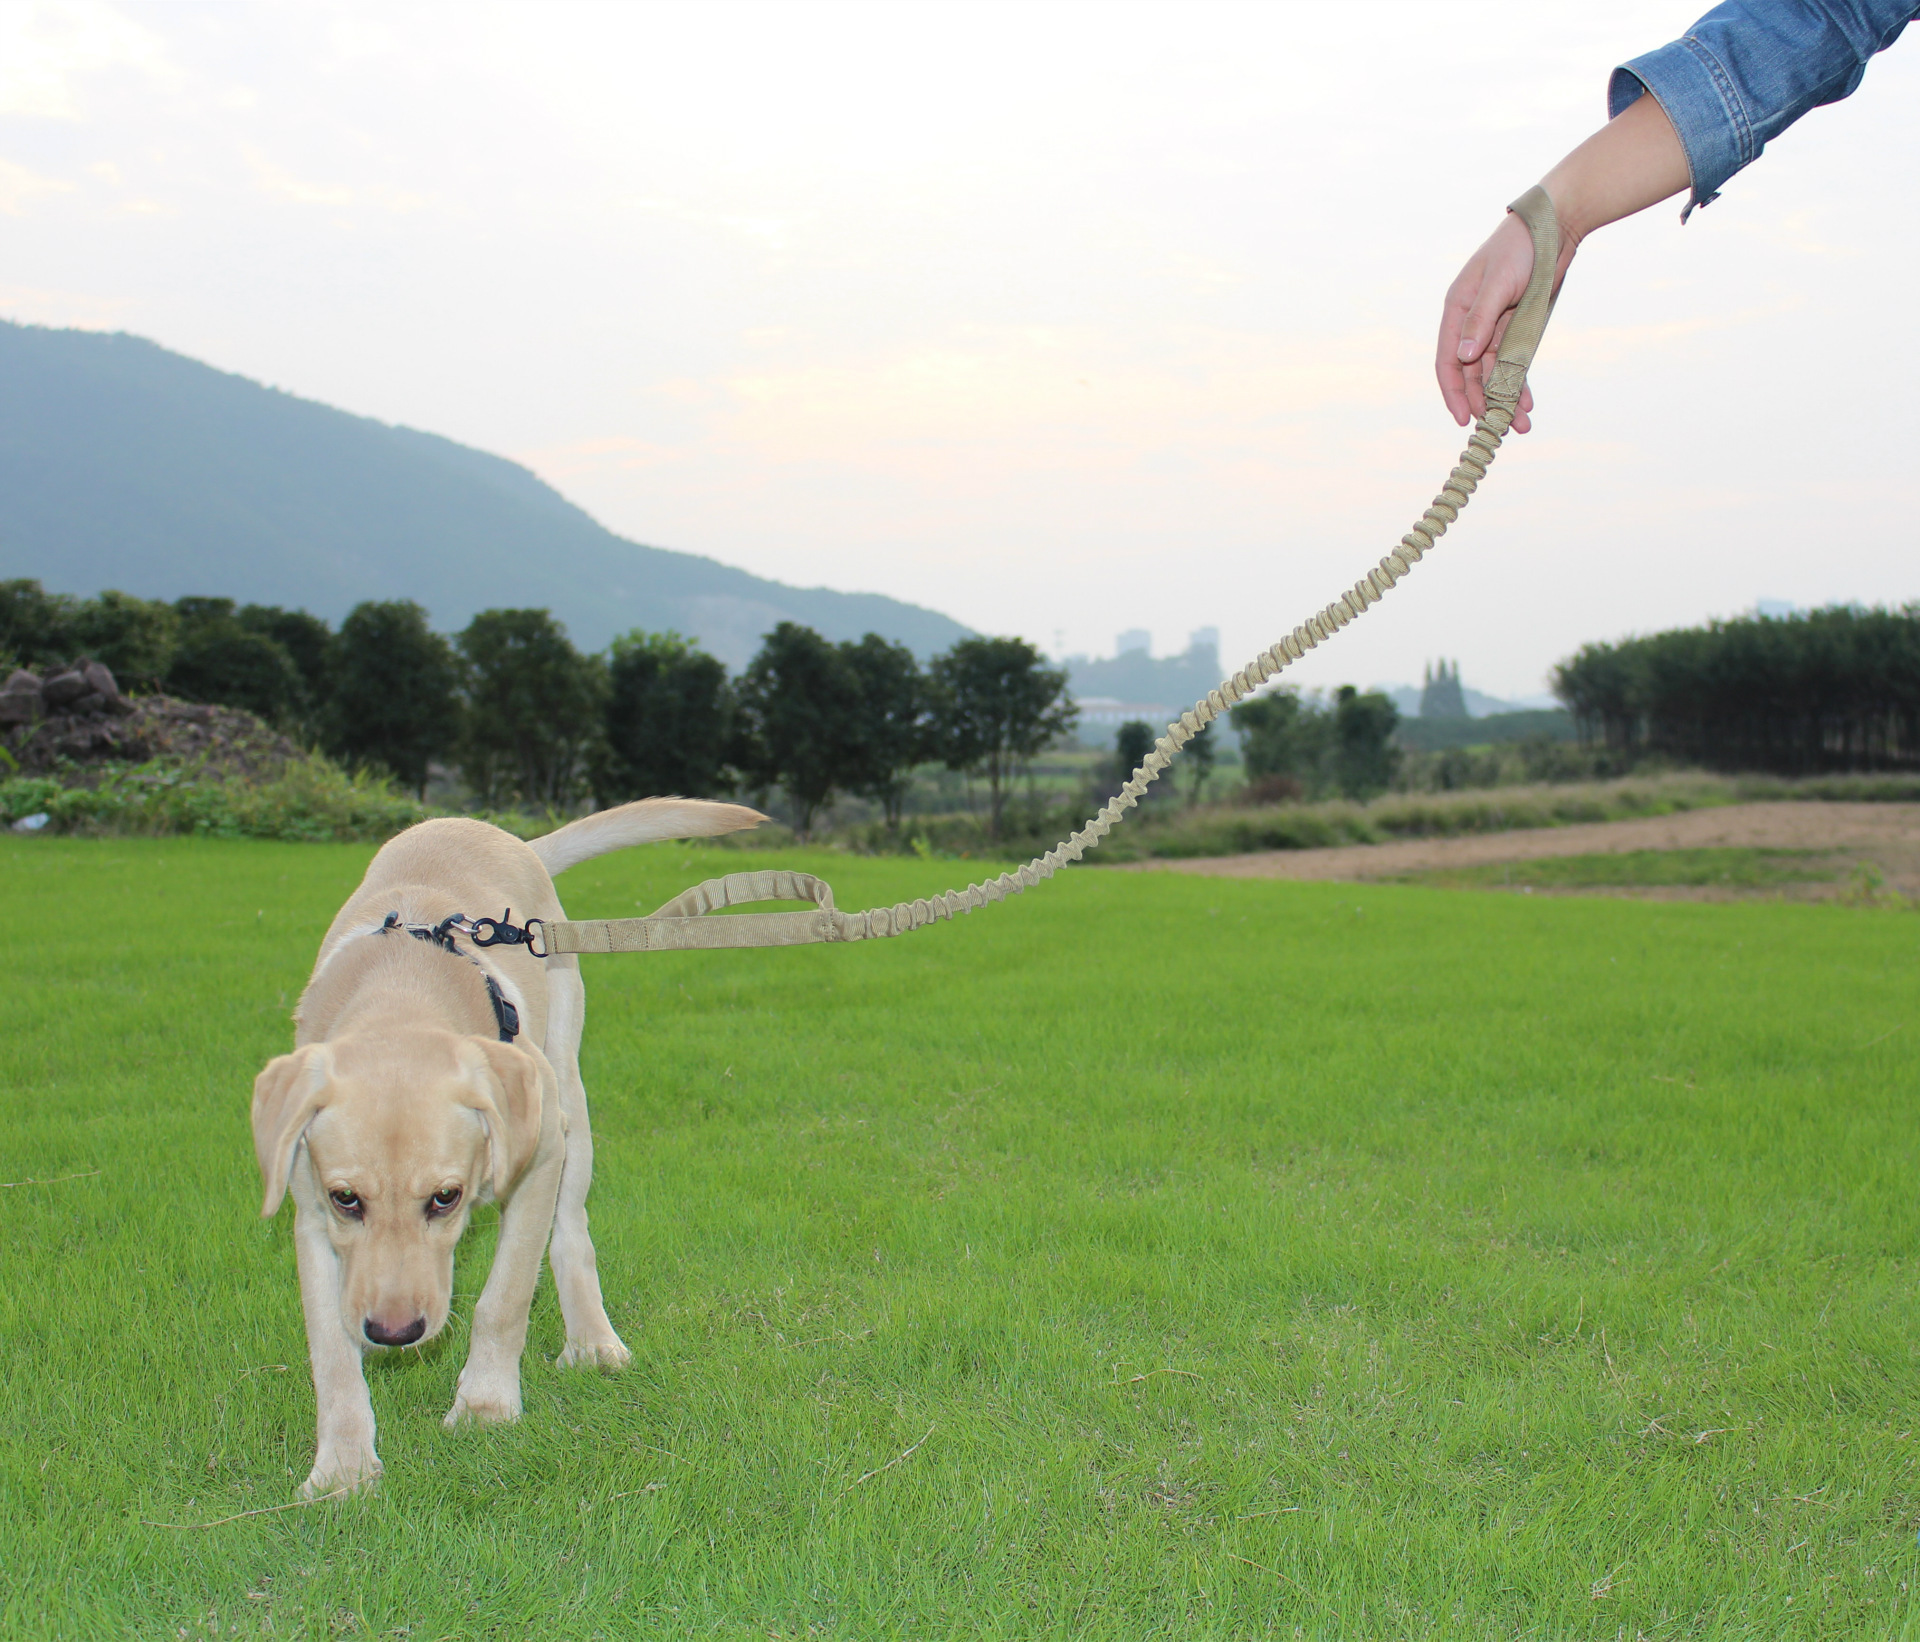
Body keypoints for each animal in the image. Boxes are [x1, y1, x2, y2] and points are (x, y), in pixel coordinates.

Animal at [251, 798, 760, 1505]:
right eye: (346, 1199)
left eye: (446, 1197)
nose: (394, 1332)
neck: (400, 999)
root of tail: (503, 837)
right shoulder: (310, 1214)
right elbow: (329, 1345)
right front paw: (343, 1468)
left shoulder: (539, 1157)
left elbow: (506, 1294)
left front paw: (486, 1407)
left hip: (568, 1087)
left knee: (571, 1228)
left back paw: (593, 1341)